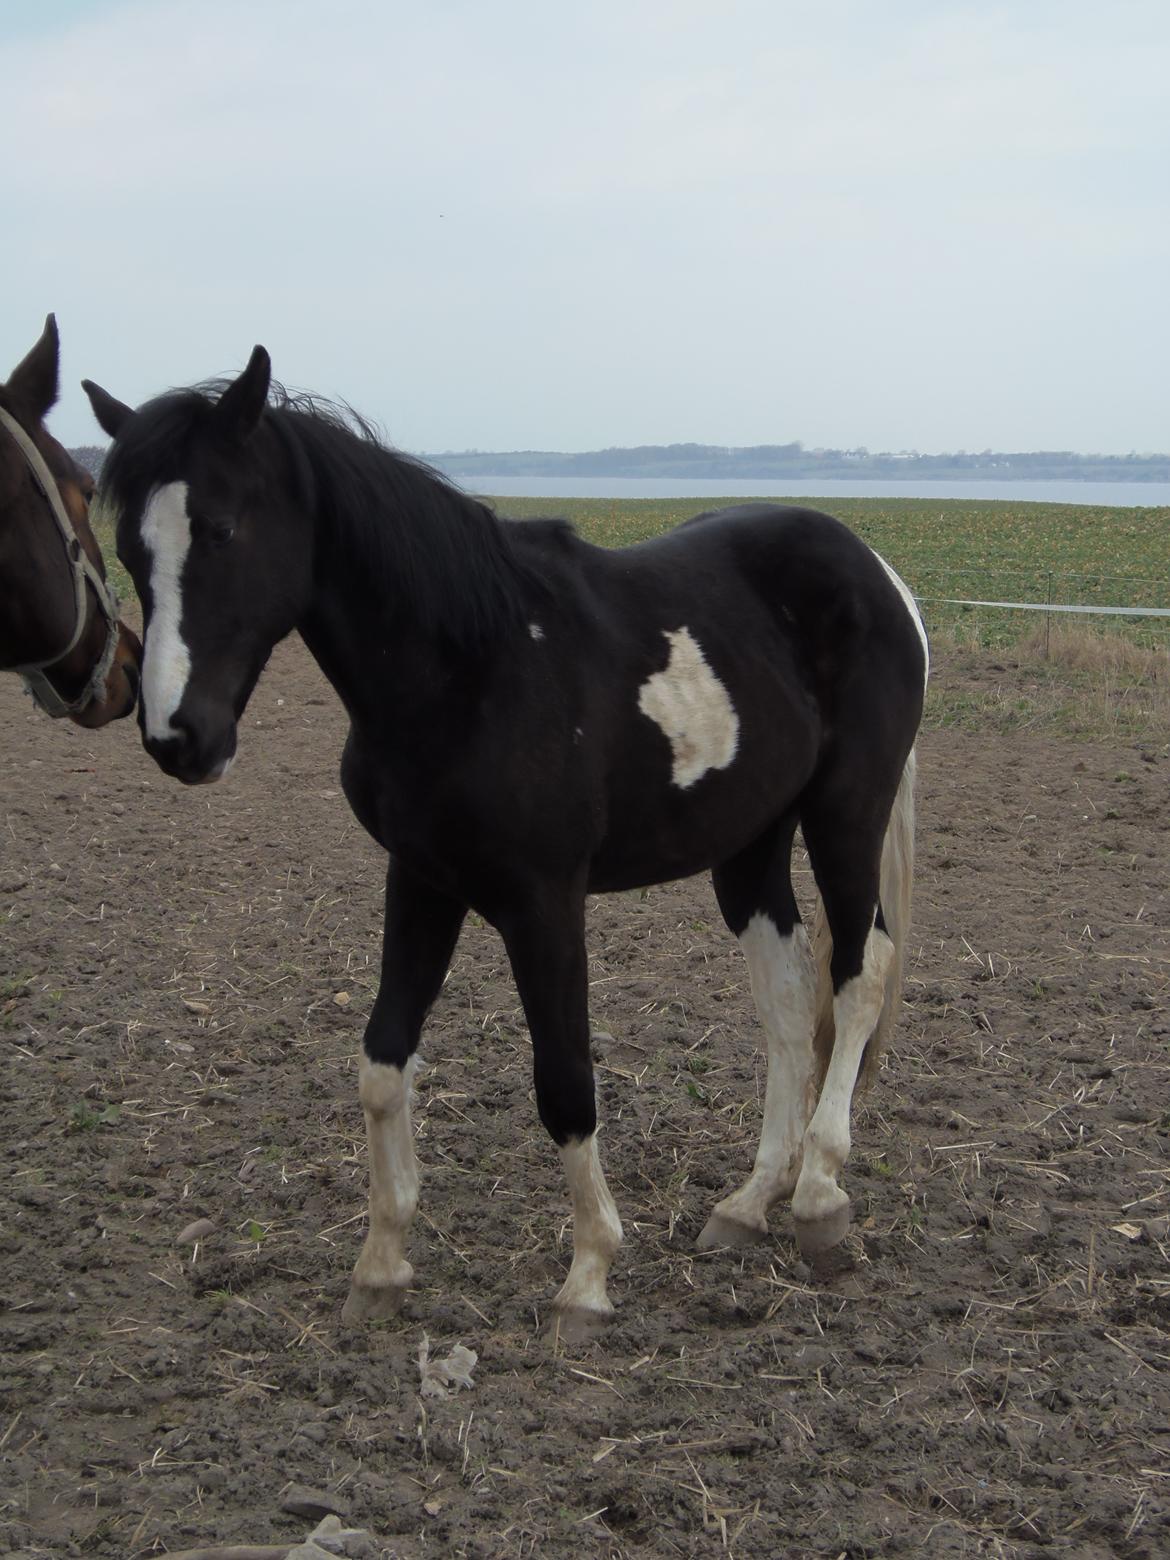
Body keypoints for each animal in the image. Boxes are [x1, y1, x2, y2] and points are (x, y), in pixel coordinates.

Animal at [82, 354, 929, 1329]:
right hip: (751, 843)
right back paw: (750, 1203)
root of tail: (879, 573)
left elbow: (564, 1082)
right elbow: (382, 1061)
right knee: (789, 998)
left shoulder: (543, 903)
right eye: (131, 549)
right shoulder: (420, 880)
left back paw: (820, 1196)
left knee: (860, 970)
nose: (178, 738)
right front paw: (380, 1269)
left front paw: (588, 1276)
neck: (470, 667)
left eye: (221, 528)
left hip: (845, 813)